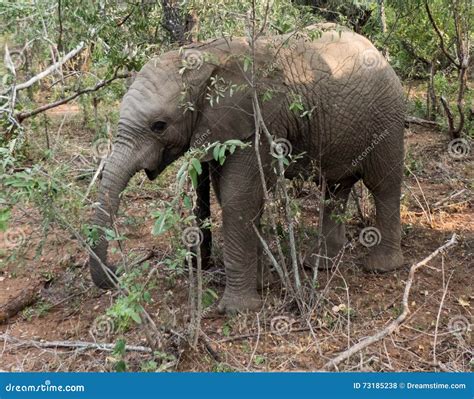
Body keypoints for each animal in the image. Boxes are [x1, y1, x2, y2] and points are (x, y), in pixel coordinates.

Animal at [89, 24, 404, 316]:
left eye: (159, 126)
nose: (116, 272)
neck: (204, 56)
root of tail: (377, 52)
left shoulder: (258, 120)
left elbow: (238, 197)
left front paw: (236, 310)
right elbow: (240, 196)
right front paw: (263, 285)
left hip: (386, 117)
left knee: (383, 184)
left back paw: (380, 267)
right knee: (335, 186)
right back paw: (320, 264)